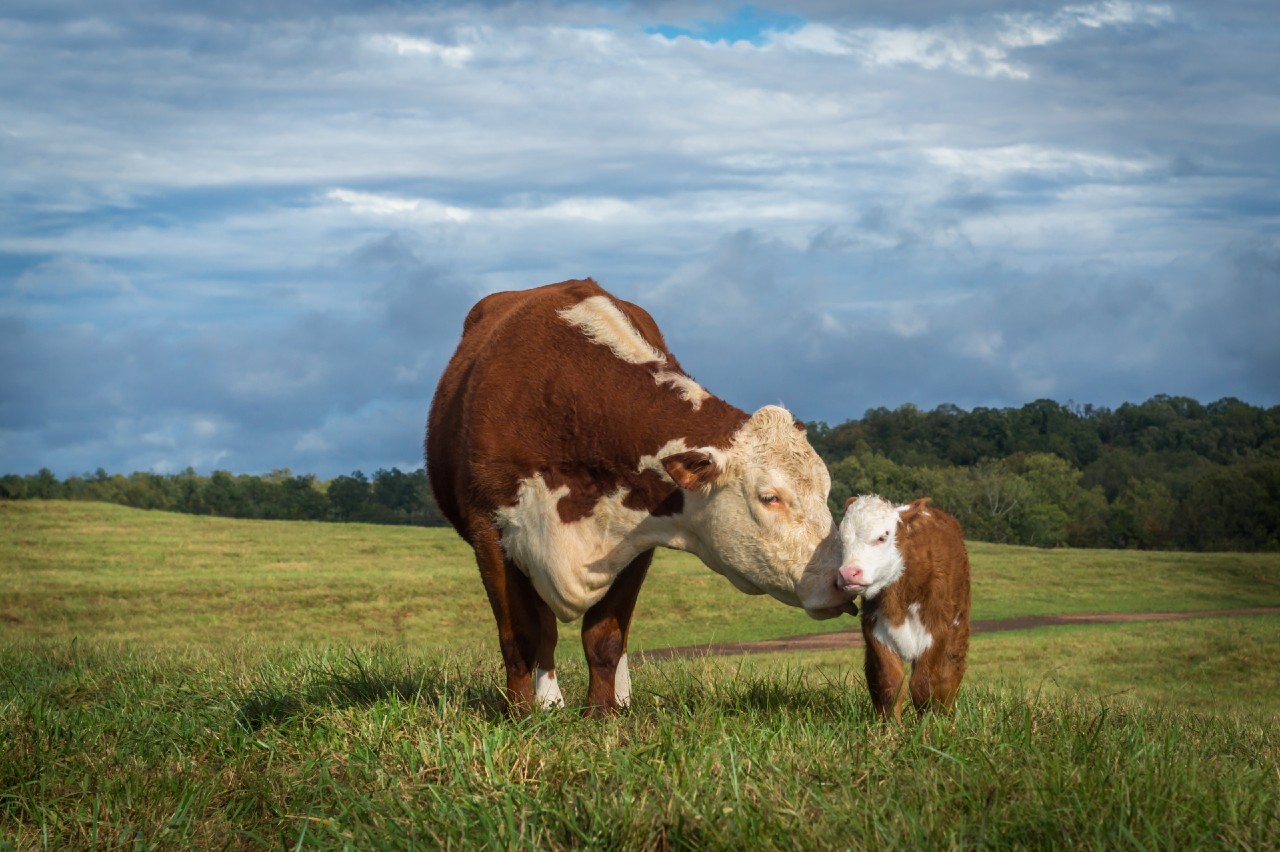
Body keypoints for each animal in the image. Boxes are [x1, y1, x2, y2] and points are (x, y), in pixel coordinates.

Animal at [424, 277, 855, 711]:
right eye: (770, 497)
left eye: (826, 492)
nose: (841, 579)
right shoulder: (490, 532)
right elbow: (521, 635)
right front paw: (522, 713)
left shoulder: (635, 538)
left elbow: (605, 637)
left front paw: (602, 713)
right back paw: (549, 702)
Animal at [834, 491, 962, 716]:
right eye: (841, 539)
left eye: (882, 537)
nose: (848, 573)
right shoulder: (875, 630)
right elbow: (891, 684)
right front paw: (890, 726)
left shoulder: (936, 630)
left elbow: (924, 685)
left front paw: (929, 724)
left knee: (950, 676)